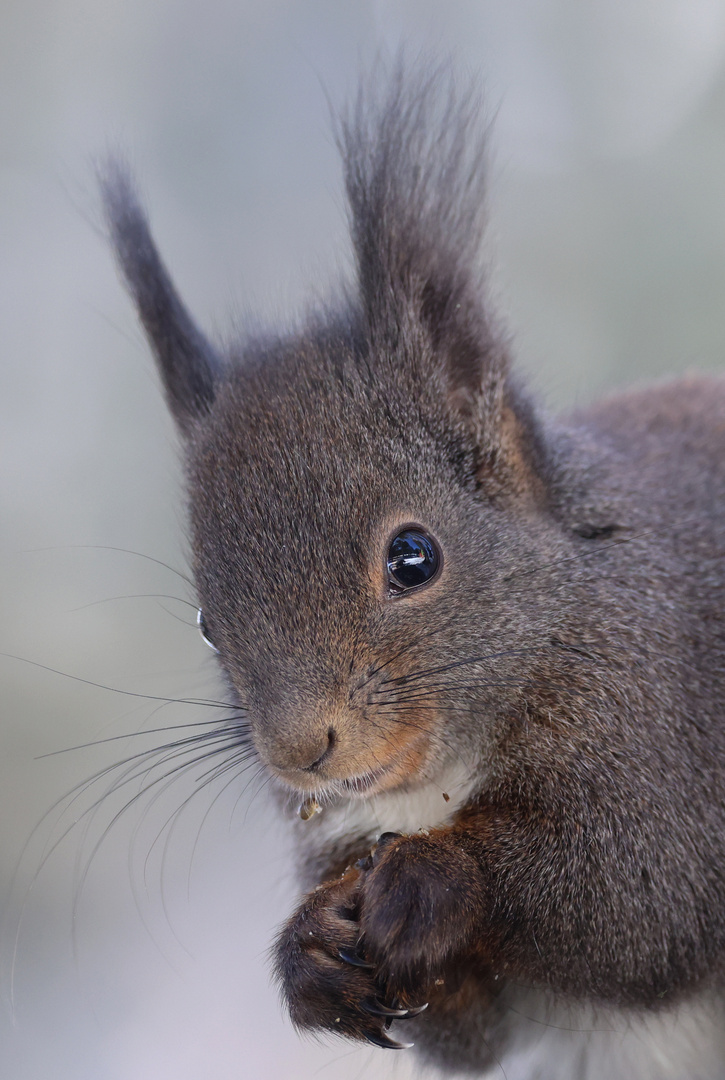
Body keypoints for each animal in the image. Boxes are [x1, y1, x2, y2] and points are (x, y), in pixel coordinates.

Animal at [99, 65, 725, 1080]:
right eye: (204, 624)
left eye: (413, 556)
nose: (297, 751)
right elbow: (469, 1029)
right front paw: (307, 952)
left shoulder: (667, 725)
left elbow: (641, 900)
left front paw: (436, 877)